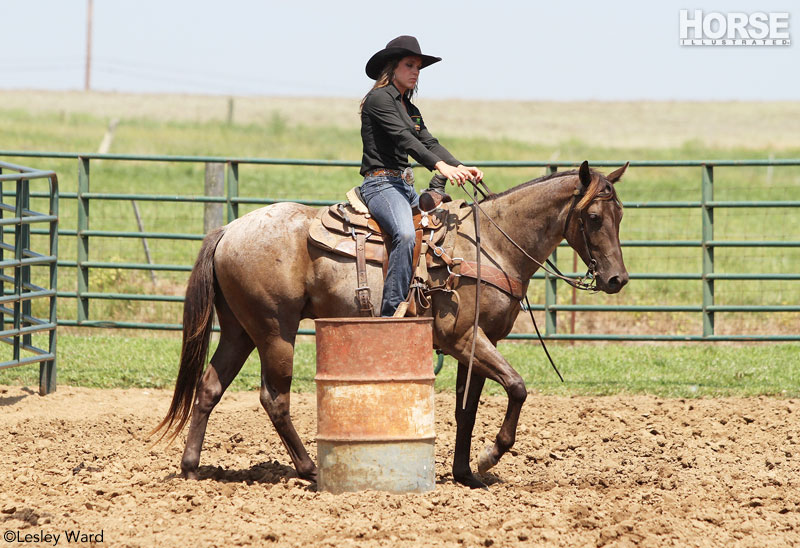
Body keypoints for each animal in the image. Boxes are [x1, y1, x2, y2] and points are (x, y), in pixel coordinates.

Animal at [153, 159, 632, 488]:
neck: (490, 245)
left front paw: (466, 474)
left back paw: (191, 469)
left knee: (210, 387)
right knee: (275, 399)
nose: (617, 279)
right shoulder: (463, 337)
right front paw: (490, 457)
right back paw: (309, 470)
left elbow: (467, 410)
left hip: (240, 331)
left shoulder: (481, 342)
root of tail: (229, 229)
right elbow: (517, 386)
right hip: (275, 331)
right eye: (593, 218)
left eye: (621, 215)